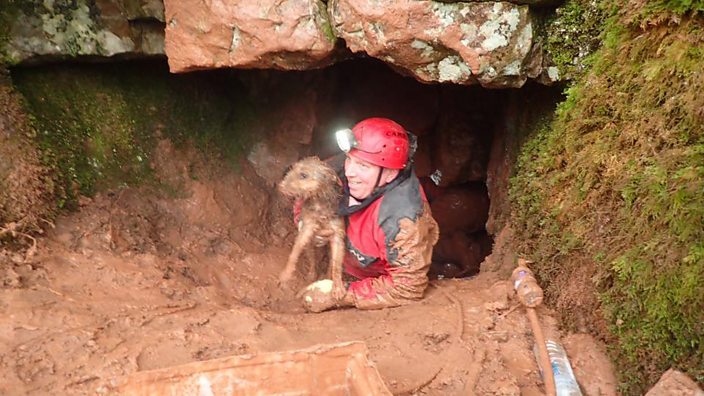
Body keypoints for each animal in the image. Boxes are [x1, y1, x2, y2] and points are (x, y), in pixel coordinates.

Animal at [280, 156, 348, 298]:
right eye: (291, 169)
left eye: (303, 175)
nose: (281, 186)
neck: (319, 203)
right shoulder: (306, 229)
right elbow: (294, 254)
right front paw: (286, 274)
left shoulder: (337, 236)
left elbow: (336, 265)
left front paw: (338, 287)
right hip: (310, 245)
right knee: (312, 262)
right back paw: (311, 276)